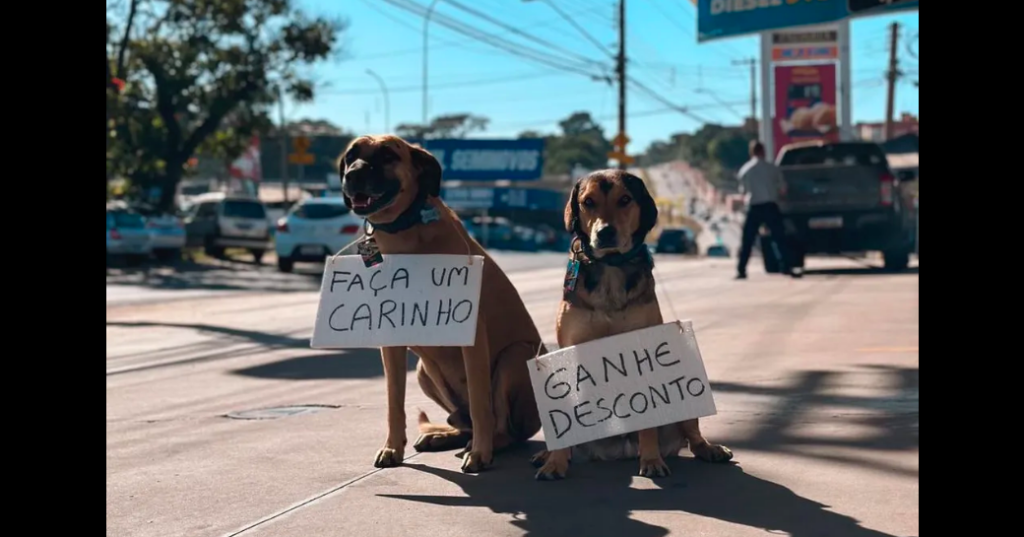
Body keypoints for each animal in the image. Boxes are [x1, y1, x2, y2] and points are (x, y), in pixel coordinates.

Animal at [335, 134, 544, 473]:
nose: (352, 175)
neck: (405, 234)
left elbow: (481, 403)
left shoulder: (472, 337)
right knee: (465, 422)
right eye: (351, 155)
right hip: (423, 370)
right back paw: (443, 436)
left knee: (503, 427)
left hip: (515, 357)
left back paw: (486, 445)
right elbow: (394, 402)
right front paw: (392, 447)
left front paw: (480, 453)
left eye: (388, 155)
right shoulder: (390, 341)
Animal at [528, 170, 737, 479]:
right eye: (588, 202)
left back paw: (709, 449)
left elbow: (647, 423)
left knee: (692, 435)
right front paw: (555, 462)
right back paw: (547, 454)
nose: (605, 232)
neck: (611, 266)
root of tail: (620, 450)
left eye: (625, 199)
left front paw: (651, 460)